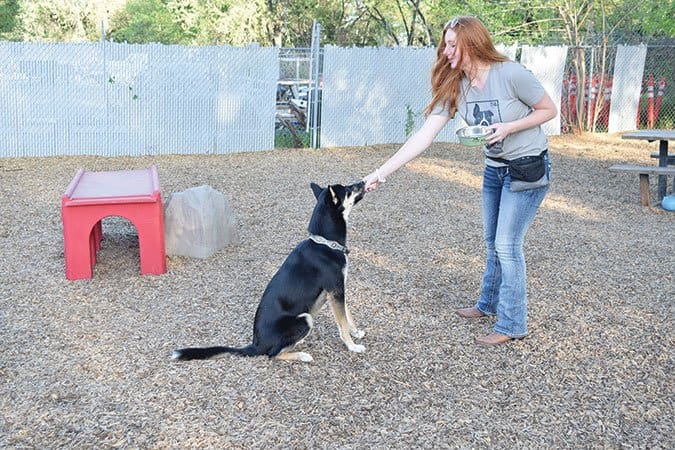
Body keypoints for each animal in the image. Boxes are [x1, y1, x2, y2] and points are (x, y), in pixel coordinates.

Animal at [172, 180, 368, 362]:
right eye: (348, 189)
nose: (363, 181)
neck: (325, 243)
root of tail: (256, 345)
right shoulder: (335, 289)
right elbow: (342, 323)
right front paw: (352, 346)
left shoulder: (337, 289)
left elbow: (348, 316)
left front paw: (356, 333)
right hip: (304, 319)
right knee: (272, 354)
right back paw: (301, 355)